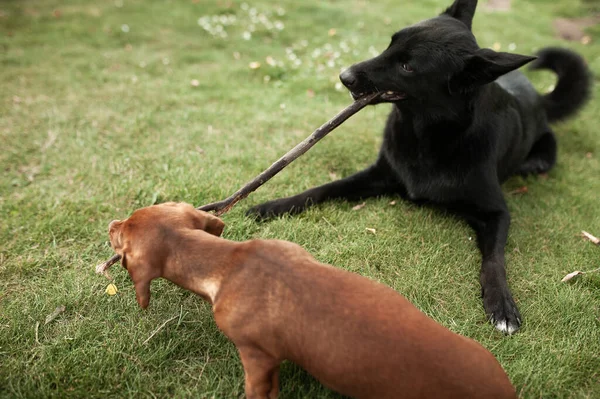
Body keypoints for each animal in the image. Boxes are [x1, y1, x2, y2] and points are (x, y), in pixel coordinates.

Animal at [248, 0, 592, 334]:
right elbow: (322, 189)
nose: (344, 76)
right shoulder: (377, 175)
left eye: (407, 66)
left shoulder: (497, 212)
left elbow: (494, 260)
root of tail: (538, 95)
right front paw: (272, 205)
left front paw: (502, 304)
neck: (426, 136)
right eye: (390, 43)